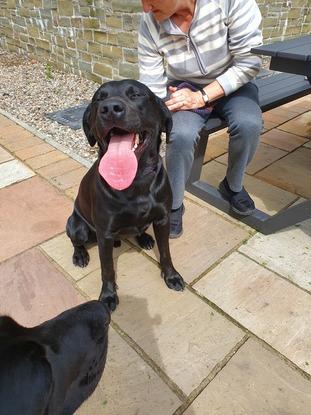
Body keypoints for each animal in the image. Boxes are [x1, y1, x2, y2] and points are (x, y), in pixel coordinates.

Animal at [65, 79, 183, 310]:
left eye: (136, 95)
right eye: (98, 98)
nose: (110, 108)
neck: (135, 181)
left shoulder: (163, 219)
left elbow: (165, 252)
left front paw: (171, 276)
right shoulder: (105, 233)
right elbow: (107, 269)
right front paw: (108, 295)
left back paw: (145, 238)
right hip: (77, 226)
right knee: (76, 240)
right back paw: (80, 255)